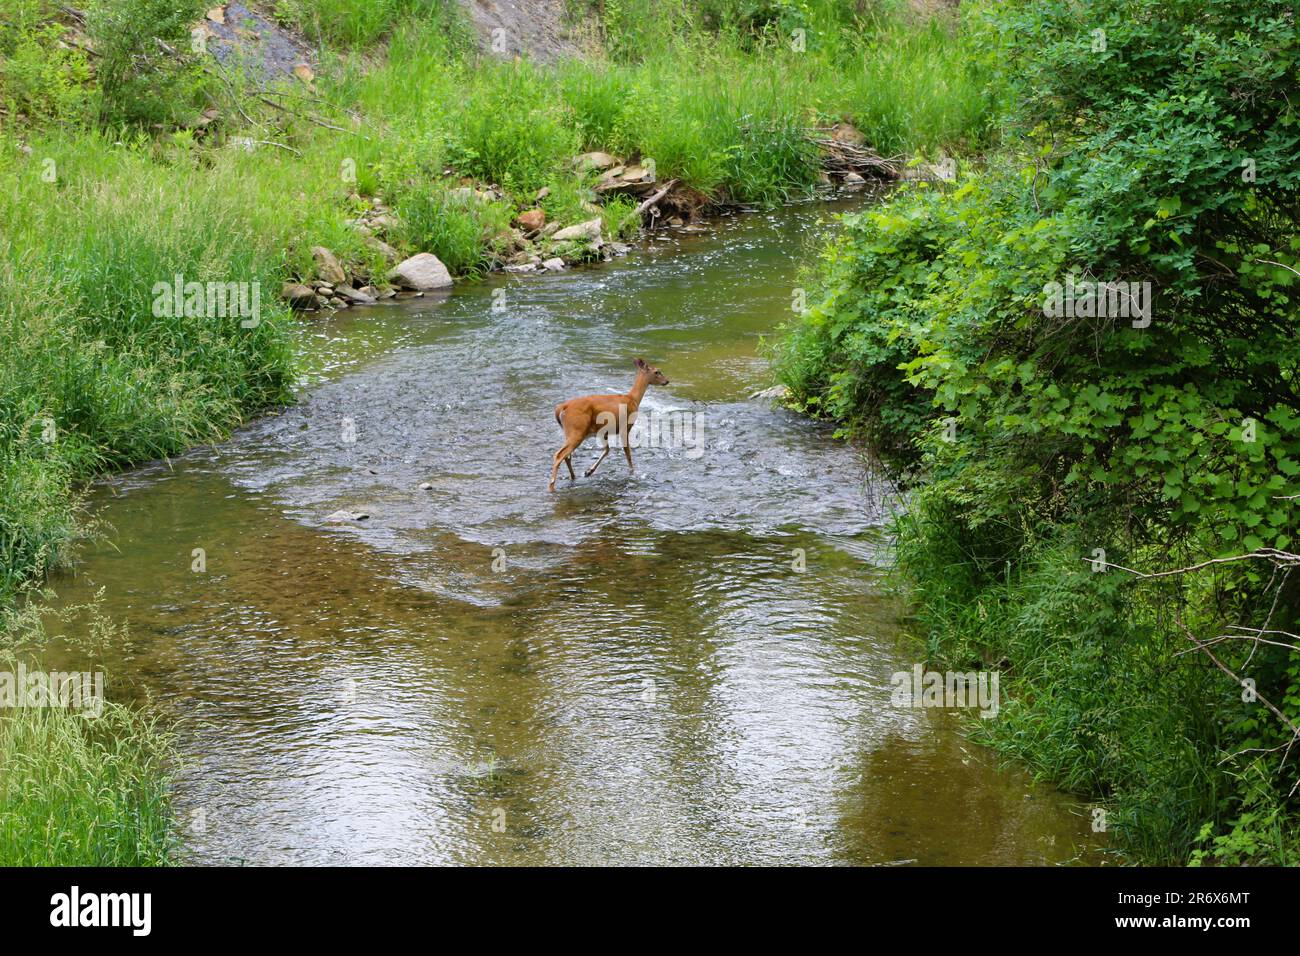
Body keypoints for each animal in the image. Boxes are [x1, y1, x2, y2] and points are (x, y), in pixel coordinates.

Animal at [548, 356, 670, 494]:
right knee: (559, 454)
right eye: (657, 371)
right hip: (577, 430)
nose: (667, 381)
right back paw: (552, 487)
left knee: (567, 456)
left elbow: (607, 450)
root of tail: (561, 407)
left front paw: (589, 471)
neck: (632, 399)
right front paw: (632, 473)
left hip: (572, 432)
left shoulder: (604, 432)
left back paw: (573, 477)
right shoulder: (624, 427)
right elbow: (627, 453)